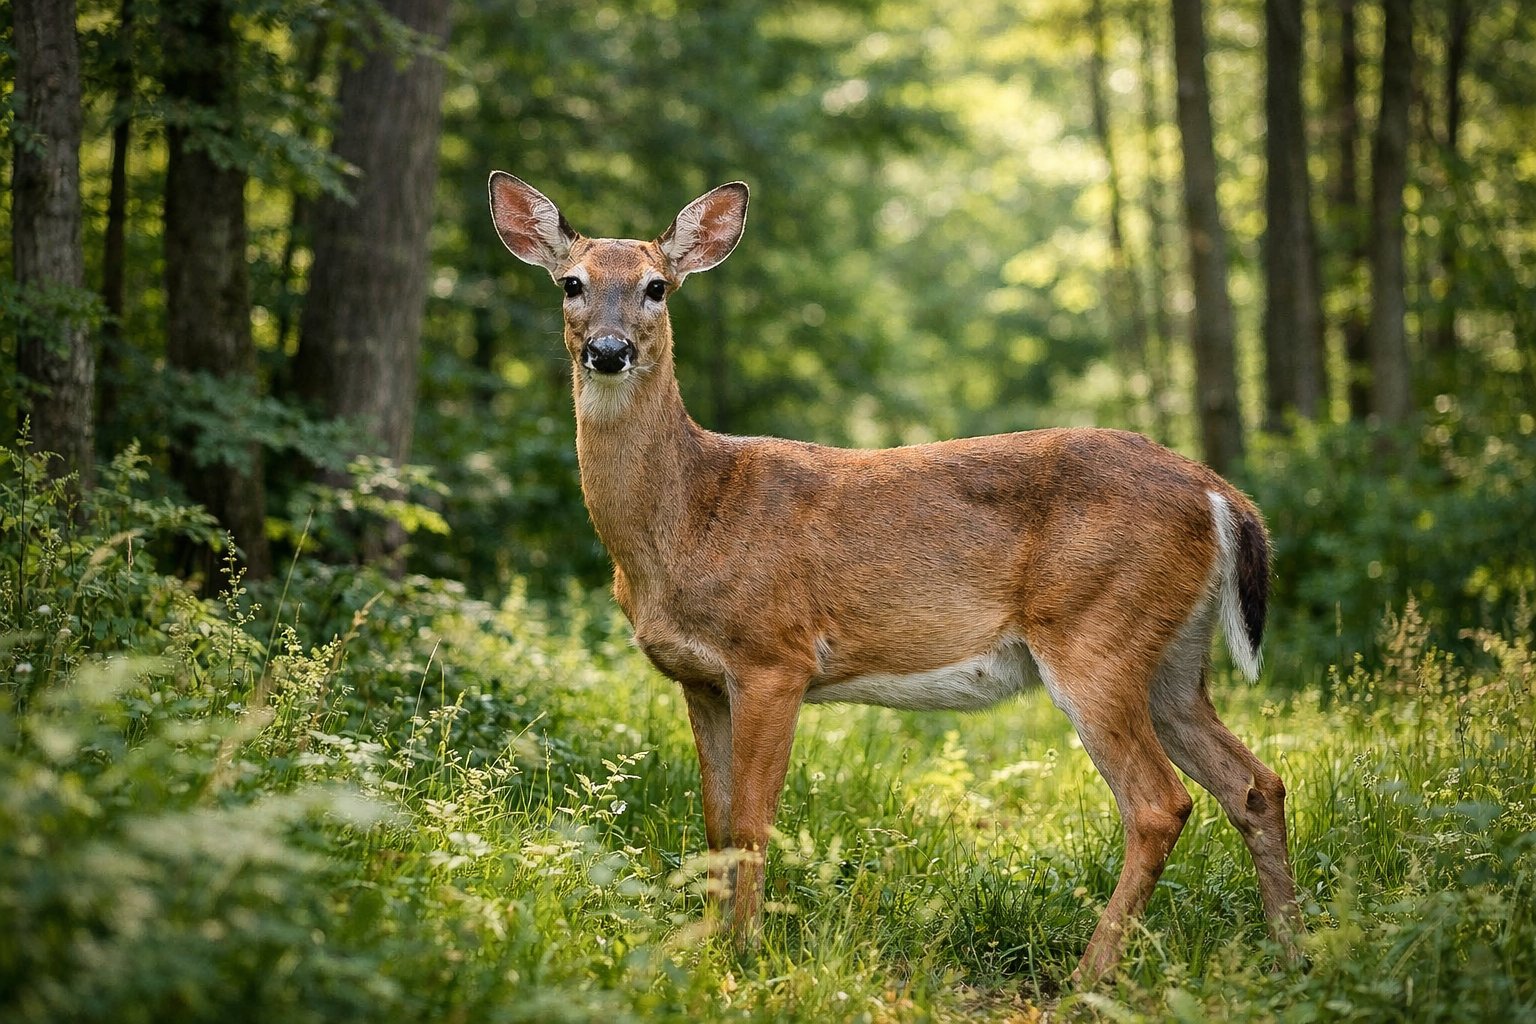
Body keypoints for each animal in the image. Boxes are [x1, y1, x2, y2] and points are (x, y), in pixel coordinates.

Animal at [487, 171, 1303, 982]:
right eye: (571, 283)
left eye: (656, 287)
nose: (609, 349)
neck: (689, 517)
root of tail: (1218, 493)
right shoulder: (700, 678)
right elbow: (715, 822)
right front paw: (711, 947)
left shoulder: (774, 657)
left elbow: (752, 820)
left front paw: (746, 955)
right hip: (1173, 658)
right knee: (1256, 784)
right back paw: (1292, 951)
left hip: (1096, 630)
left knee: (1160, 804)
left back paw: (1088, 977)